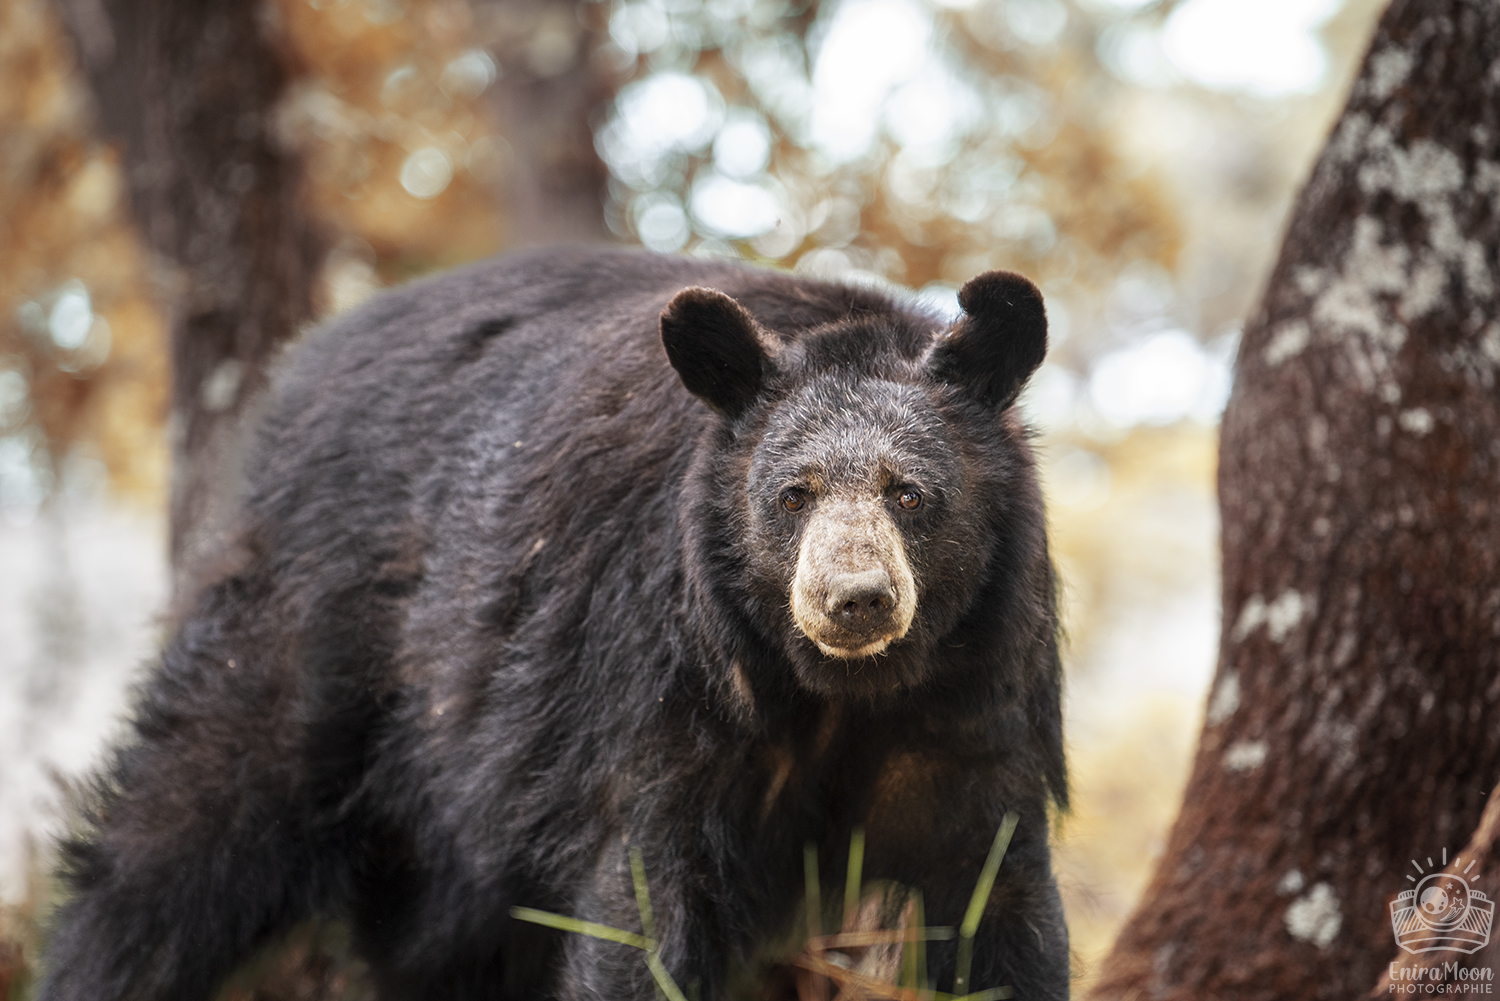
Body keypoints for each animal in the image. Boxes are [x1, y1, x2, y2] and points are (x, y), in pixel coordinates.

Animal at [35, 244, 1068, 1001]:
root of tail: (300, 370)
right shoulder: (660, 696)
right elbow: (639, 904)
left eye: (910, 493)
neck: (836, 690)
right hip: (317, 629)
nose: (854, 599)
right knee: (180, 830)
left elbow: (999, 899)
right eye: (793, 493)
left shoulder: (977, 706)